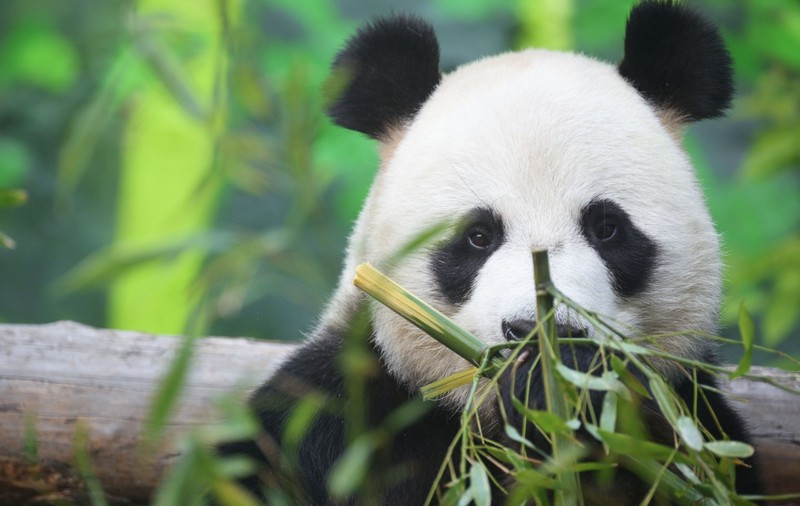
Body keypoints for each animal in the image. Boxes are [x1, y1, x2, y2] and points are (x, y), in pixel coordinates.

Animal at [219, 1, 764, 504]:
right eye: (478, 236)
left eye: (607, 229)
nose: (536, 335)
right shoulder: (343, 410)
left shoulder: (692, 413)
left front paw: (564, 380)